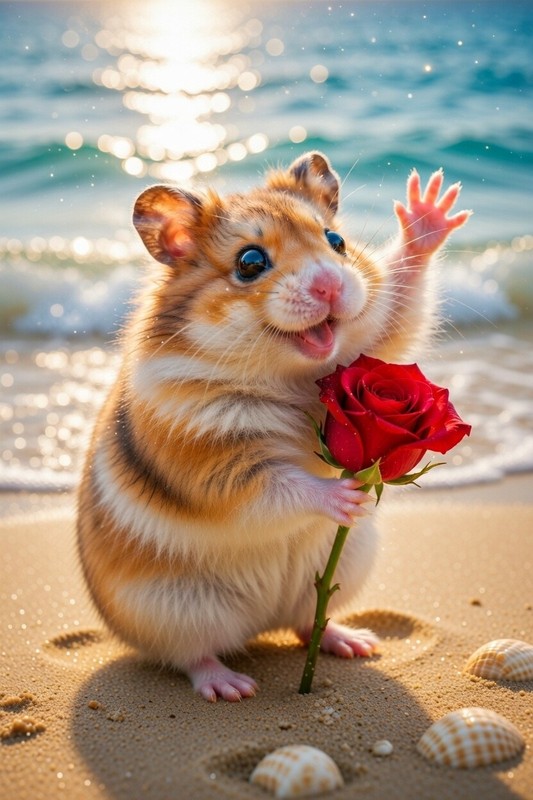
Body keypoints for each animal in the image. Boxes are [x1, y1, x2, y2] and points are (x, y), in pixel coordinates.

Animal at [77, 152, 470, 701]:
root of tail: (260, 624)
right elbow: (279, 487)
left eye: (336, 240)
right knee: (191, 656)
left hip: (340, 568)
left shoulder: (380, 332)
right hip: (171, 610)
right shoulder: (211, 463)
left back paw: (357, 643)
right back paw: (233, 687)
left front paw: (429, 208)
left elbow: (401, 301)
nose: (331, 284)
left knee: (308, 622)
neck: (291, 375)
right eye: (249, 262)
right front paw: (348, 497)